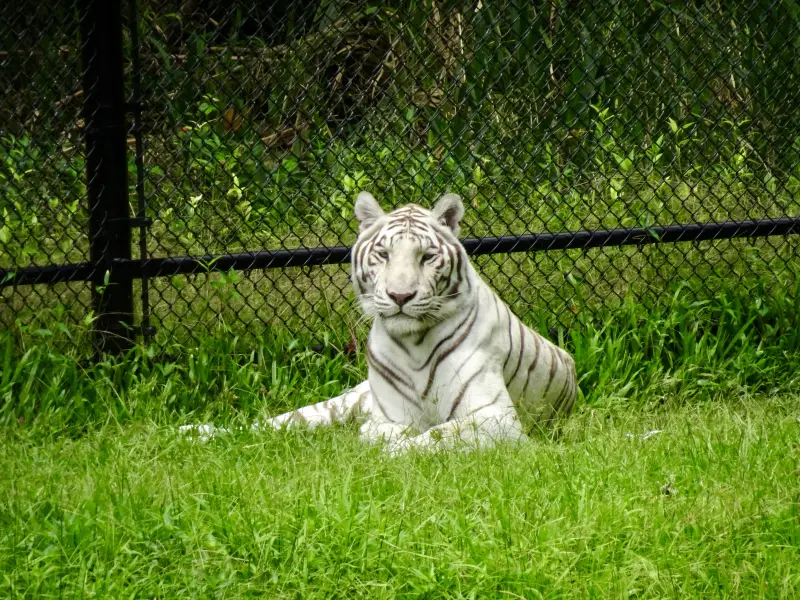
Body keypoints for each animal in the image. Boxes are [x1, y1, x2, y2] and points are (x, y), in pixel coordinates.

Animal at [184, 192, 580, 454]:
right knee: (268, 424)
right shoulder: (385, 413)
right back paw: (192, 430)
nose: (400, 296)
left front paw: (395, 451)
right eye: (383, 254)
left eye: (427, 257)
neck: (413, 342)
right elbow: (381, 433)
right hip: (340, 404)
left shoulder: (497, 416)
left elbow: (435, 435)